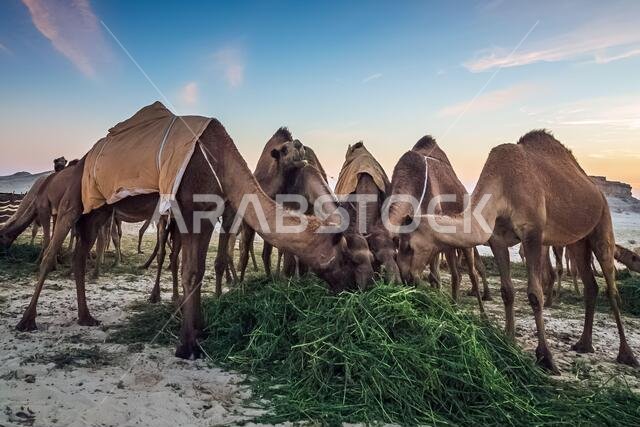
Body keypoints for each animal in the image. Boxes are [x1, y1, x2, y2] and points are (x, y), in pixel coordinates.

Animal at [16, 118, 374, 360]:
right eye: (350, 257)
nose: (361, 288)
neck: (223, 162)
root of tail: (80, 161)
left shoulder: (208, 214)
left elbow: (200, 269)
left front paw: (201, 329)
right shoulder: (190, 211)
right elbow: (191, 270)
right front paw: (187, 345)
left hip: (98, 213)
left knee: (79, 256)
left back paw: (86, 316)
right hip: (73, 202)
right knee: (50, 253)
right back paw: (27, 321)